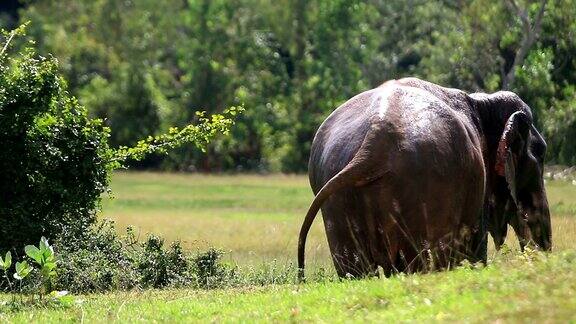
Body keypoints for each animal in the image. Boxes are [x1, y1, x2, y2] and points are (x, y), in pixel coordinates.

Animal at [300, 77, 552, 280]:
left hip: (337, 197)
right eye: (541, 153)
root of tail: (375, 140)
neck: (482, 102)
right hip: (425, 192)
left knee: (355, 270)